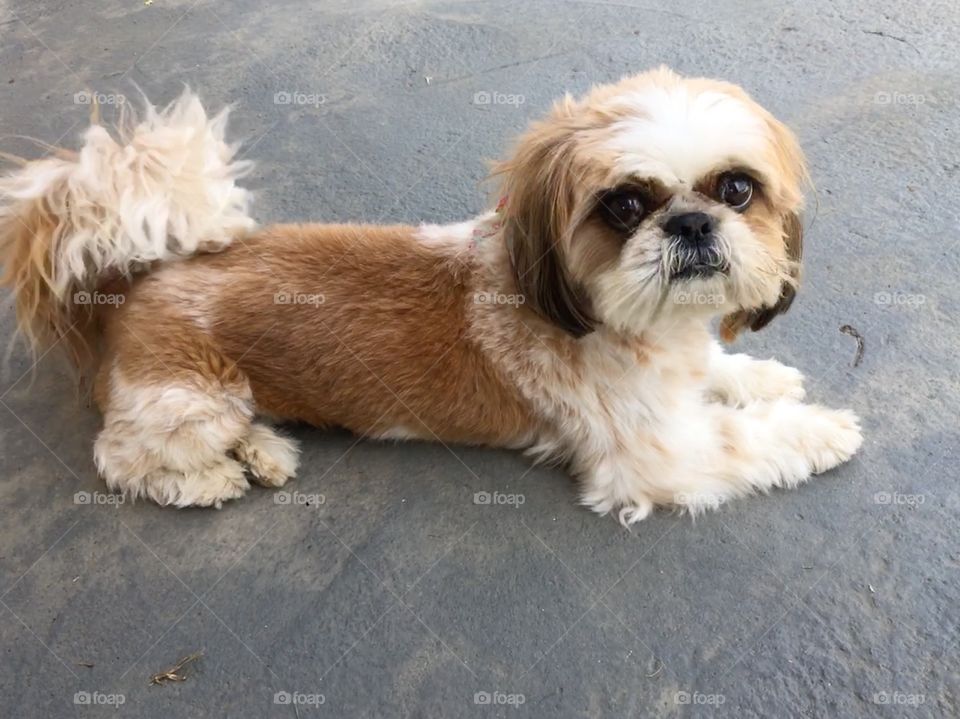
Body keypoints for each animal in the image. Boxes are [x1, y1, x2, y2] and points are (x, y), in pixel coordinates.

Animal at [0, 67, 864, 524]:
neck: (628, 327)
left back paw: (263, 449)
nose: (691, 221)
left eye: (737, 188)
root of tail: (140, 276)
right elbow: (743, 441)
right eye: (623, 205)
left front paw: (760, 376)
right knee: (125, 457)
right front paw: (820, 429)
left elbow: (719, 371)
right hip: (187, 401)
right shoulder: (656, 456)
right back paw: (206, 476)